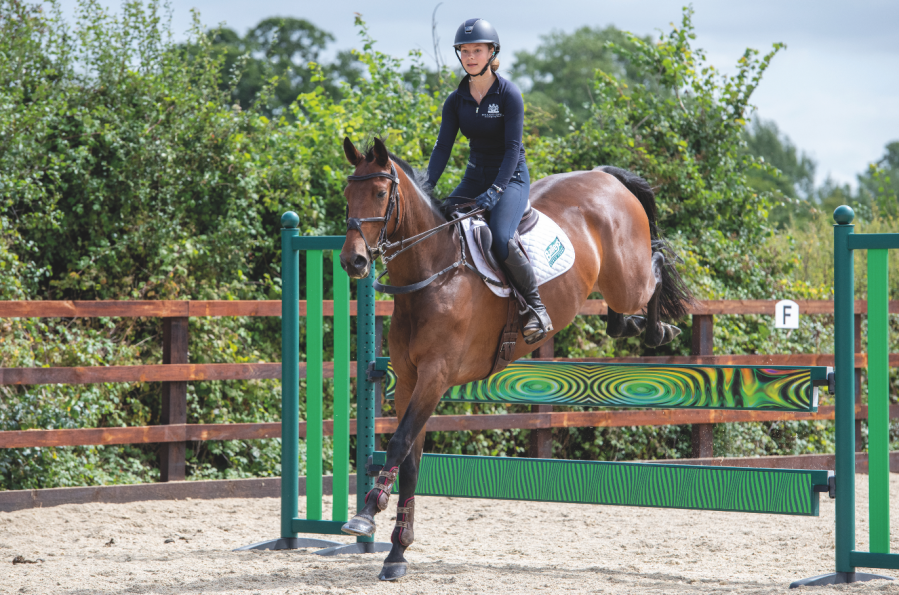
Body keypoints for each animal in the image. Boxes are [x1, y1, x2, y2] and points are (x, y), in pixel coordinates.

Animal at [336, 137, 688, 580]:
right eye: (348, 194)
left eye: (381, 194)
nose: (353, 261)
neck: (433, 273)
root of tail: (604, 176)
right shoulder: (409, 379)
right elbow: (412, 459)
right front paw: (397, 552)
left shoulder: (435, 376)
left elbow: (399, 444)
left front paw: (366, 514)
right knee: (620, 316)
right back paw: (635, 325)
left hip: (629, 279)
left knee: (656, 264)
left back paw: (660, 329)